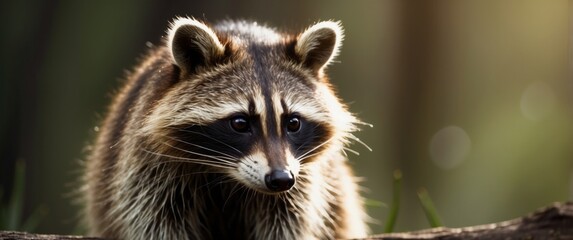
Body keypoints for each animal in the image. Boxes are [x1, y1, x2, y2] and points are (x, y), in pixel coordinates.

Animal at [84, 17, 370, 240]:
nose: (281, 179)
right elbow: (153, 220)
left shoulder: (303, 180)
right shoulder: (147, 168)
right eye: (240, 123)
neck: (228, 175)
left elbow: (288, 222)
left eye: (293, 123)